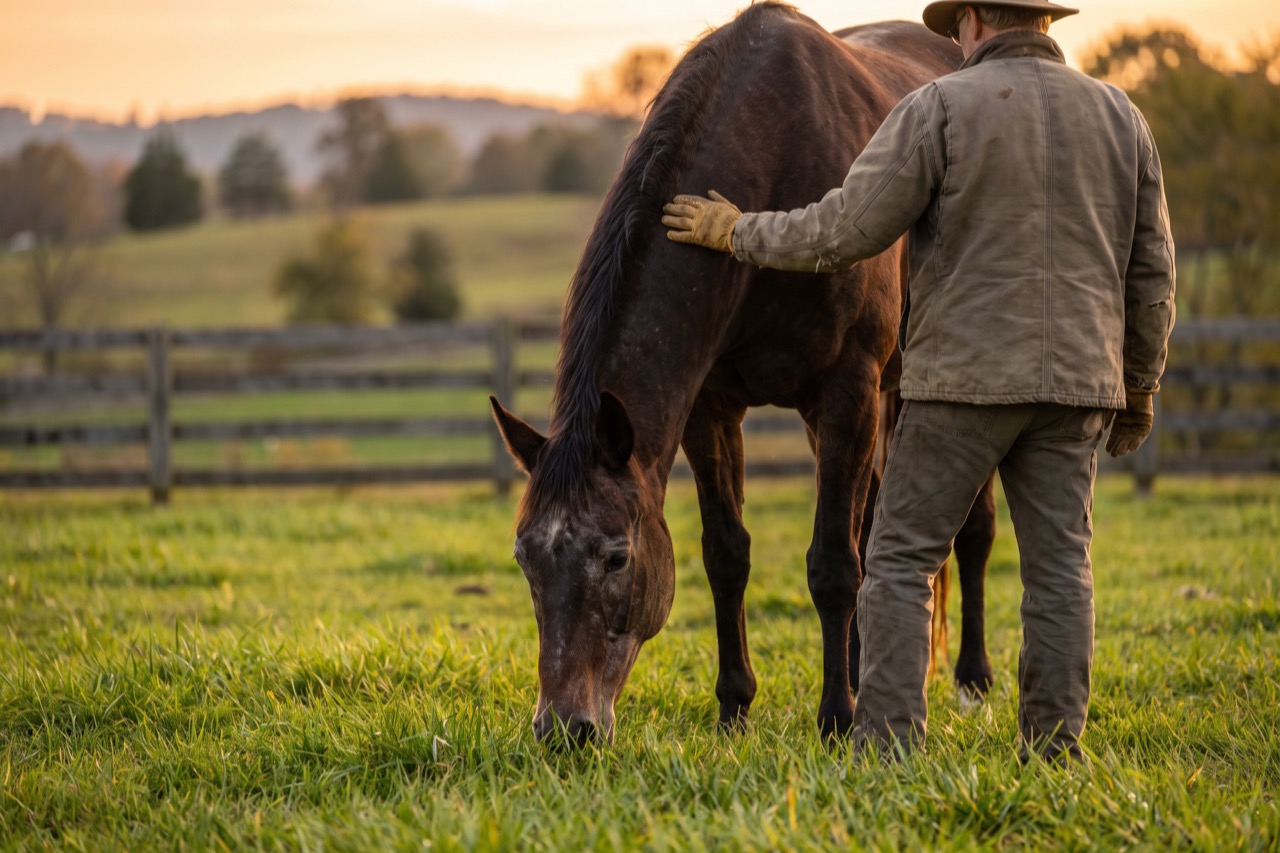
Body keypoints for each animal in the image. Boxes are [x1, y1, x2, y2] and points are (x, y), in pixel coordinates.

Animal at [490, 3, 994, 746]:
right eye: (526, 557)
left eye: (615, 557)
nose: (563, 728)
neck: (773, 156)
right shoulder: (711, 409)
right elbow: (726, 555)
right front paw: (734, 707)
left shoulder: (845, 392)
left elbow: (832, 565)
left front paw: (836, 718)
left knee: (969, 531)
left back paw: (971, 680)